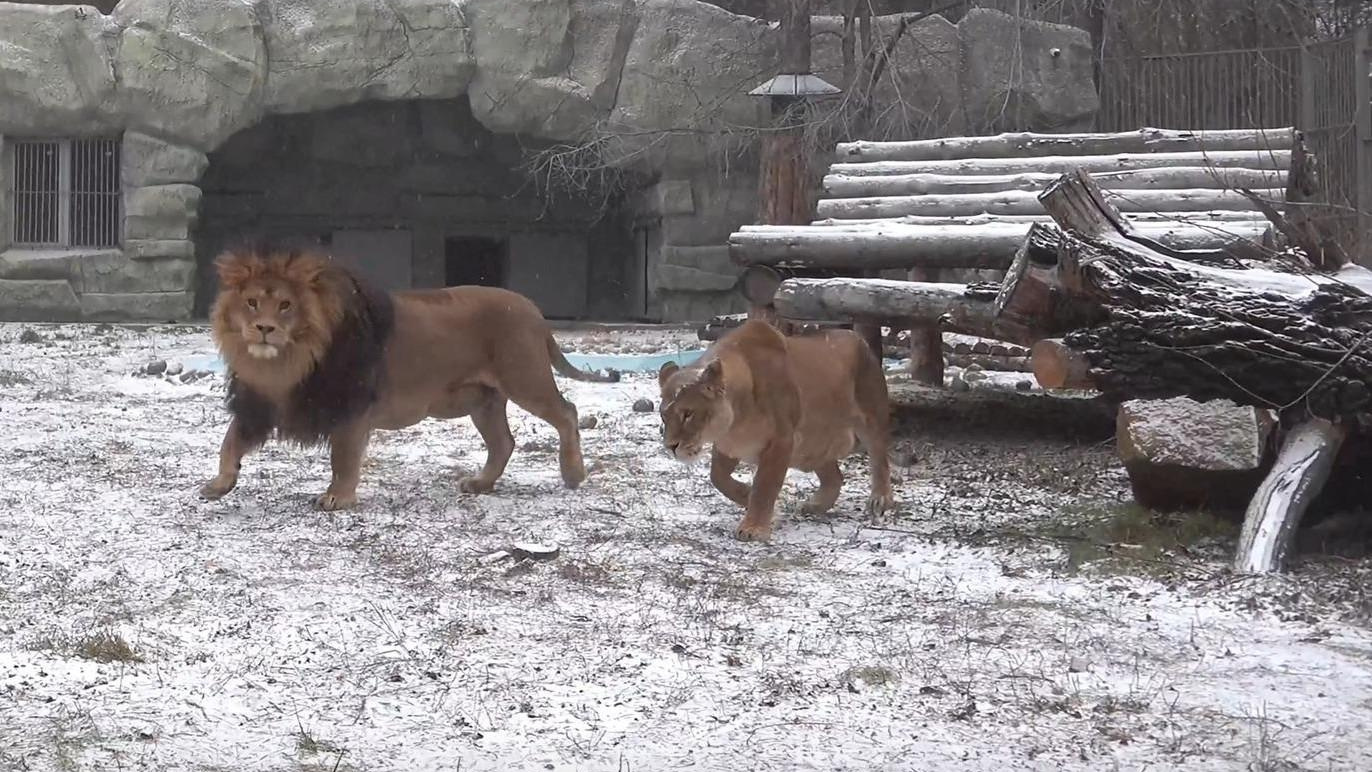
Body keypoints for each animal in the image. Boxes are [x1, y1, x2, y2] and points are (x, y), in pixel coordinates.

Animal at [198, 241, 617, 507]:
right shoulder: (263, 402)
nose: (263, 328)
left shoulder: (352, 408)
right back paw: (480, 483)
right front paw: (219, 484)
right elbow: (229, 441)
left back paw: (573, 474)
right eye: (252, 302)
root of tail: (533, 309)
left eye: (286, 305)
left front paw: (338, 497)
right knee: (504, 442)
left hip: (525, 378)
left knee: (567, 413)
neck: (288, 359)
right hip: (482, 400)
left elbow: (343, 458)